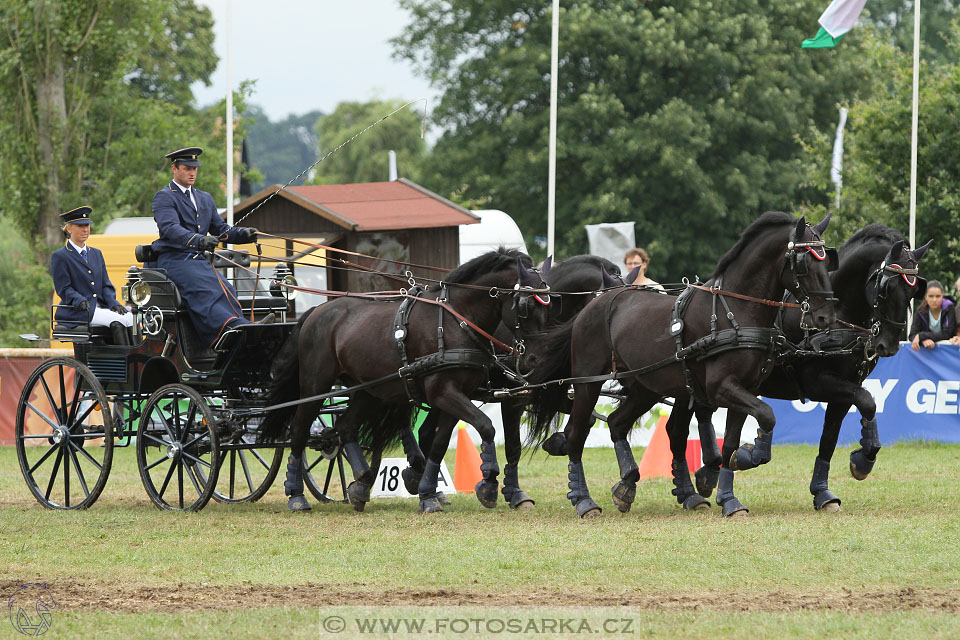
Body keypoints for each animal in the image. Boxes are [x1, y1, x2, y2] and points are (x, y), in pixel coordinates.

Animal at [258, 248, 552, 512]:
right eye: (526, 306)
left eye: (550, 304)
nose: (535, 360)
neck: (456, 322)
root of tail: (317, 310)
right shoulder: (443, 393)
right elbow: (485, 426)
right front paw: (488, 484)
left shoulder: (456, 395)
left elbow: (439, 443)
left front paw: (428, 493)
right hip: (314, 385)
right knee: (299, 432)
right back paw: (297, 495)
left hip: (367, 390)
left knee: (345, 427)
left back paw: (361, 484)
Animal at [404, 254, 624, 510]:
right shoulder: (512, 398)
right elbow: (513, 446)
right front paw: (514, 493)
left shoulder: (549, 391)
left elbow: (587, 419)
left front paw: (558, 443)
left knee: (428, 432)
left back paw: (426, 485)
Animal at [692, 224, 932, 516]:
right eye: (886, 288)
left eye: (913, 291)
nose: (888, 345)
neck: (840, 316)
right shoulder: (818, 383)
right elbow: (866, 400)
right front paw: (862, 461)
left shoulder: (846, 389)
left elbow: (835, 433)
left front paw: (828, 487)